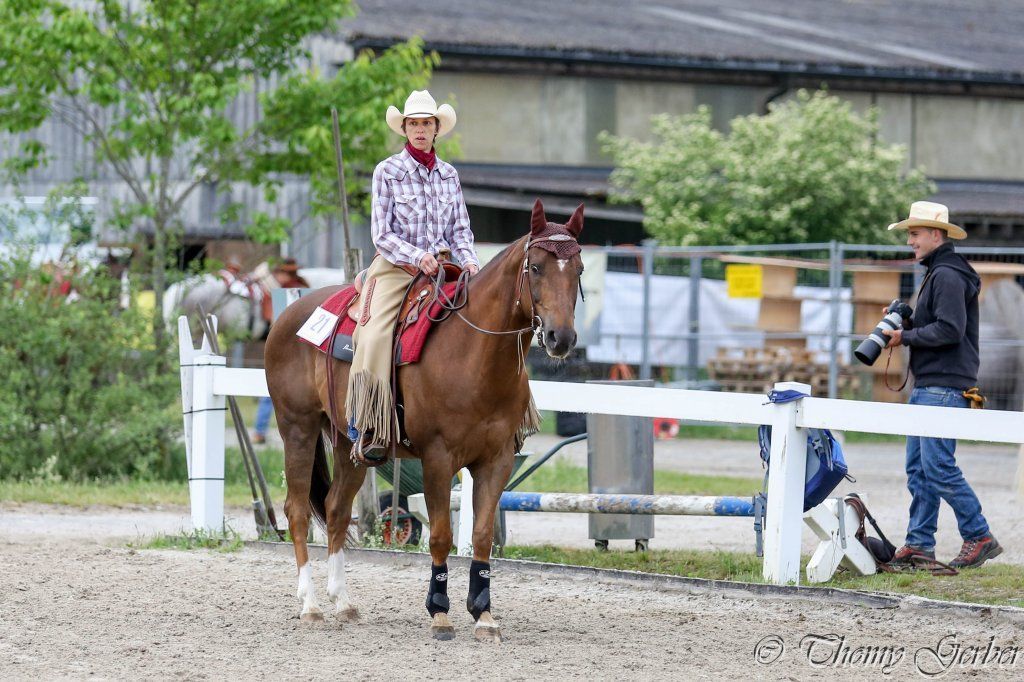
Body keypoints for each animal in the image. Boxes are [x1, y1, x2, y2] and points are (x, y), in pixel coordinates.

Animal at [264, 199, 584, 643]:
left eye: (579, 270)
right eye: (535, 267)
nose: (561, 338)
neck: (474, 354)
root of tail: (288, 315)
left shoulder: (497, 460)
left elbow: (481, 536)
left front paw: (483, 615)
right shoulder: (437, 458)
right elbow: (441, 535)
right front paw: (440, 612)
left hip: (350, 444)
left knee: (336, 510)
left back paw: (342, 602)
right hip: (298, 428)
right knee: (296, 510)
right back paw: (310, 605)